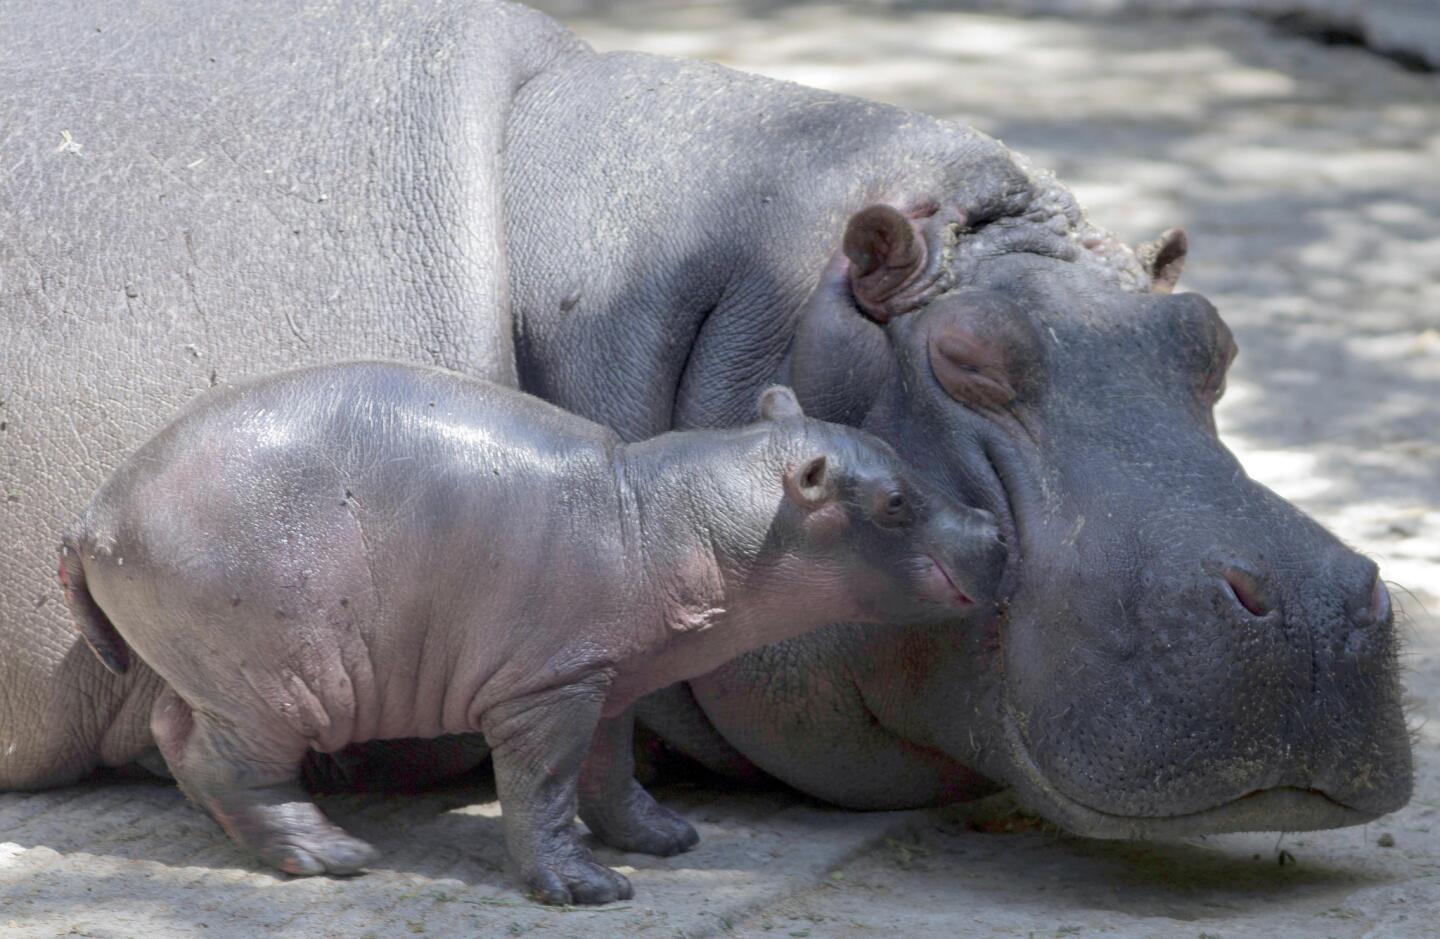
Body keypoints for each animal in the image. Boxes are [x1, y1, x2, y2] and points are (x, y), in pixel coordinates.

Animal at [59, 360, 1002, 904]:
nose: (995, 526)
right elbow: (544, 783)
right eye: (895, 500)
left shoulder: (608, 676)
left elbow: (611, 769)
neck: (667, 515)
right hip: (279, 676)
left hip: (216, 669)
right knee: (235, 762)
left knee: (178, 731)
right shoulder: (546, 688)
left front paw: (666, 839)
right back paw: (332, 854)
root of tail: (96, 510)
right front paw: (589, 887)